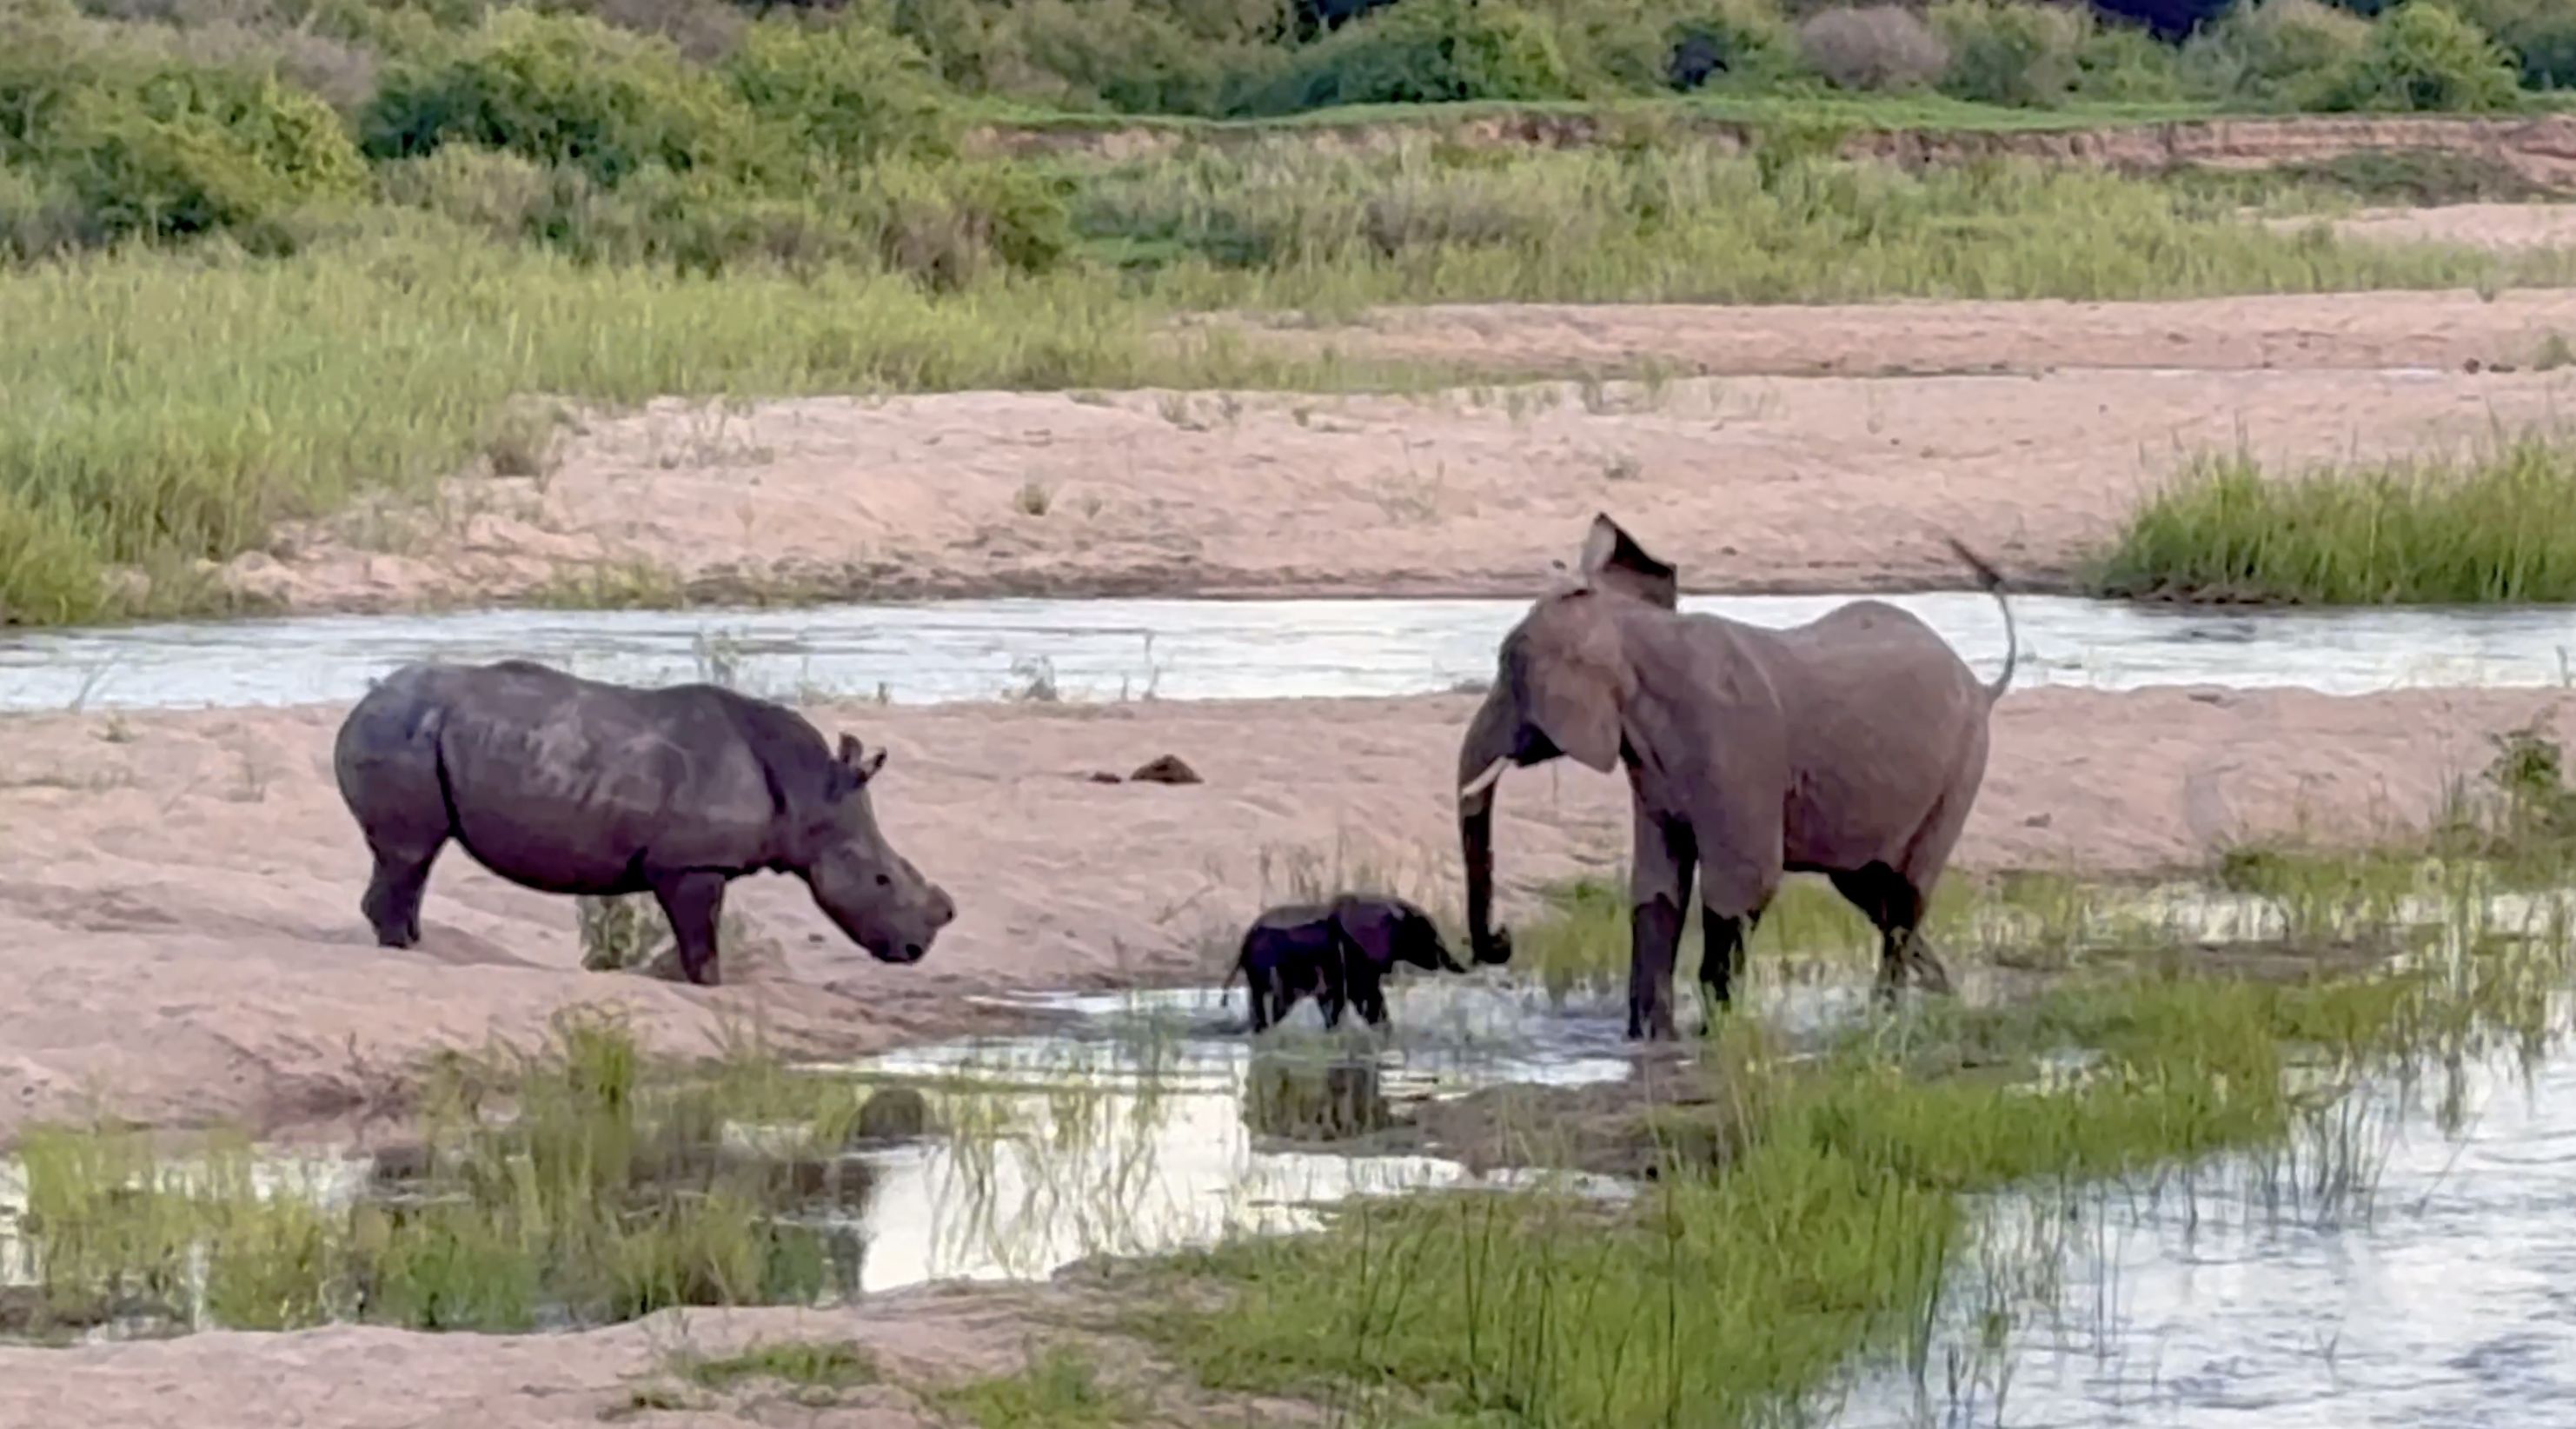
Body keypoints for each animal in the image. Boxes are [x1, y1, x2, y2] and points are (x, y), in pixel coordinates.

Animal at [332, 659, 956, 985]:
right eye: (881, 880)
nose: (916, 950)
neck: (811, 792)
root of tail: (359, 707)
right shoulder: (693, 864)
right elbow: (701, 944)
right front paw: (709, 987)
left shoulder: (690, 863)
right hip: (400, 734)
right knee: (409, 852)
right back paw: (401, 952)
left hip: (416, 732)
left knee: (417, 857)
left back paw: (417, 947)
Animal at [1227, 894, 1467, 1032]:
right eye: (1426, 935)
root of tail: (1244, 942)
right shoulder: (1353, 953)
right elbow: (1363, 996)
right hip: (1268, 965)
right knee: (1275, 1003)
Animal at [1454, 514, 2021, 1040]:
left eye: (1508, 669)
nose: (1501, 940)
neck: (1631, 627)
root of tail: (1982, 685)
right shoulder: (1653, 769)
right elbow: (1657, 890)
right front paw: (1651, 1042)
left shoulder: (1734, 748)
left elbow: (1741, 886)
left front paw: (1716, 1038)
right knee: (1871, 893)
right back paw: (1939, 998)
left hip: (1961, 771)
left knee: (1904, 899)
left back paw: (1885, 1020)